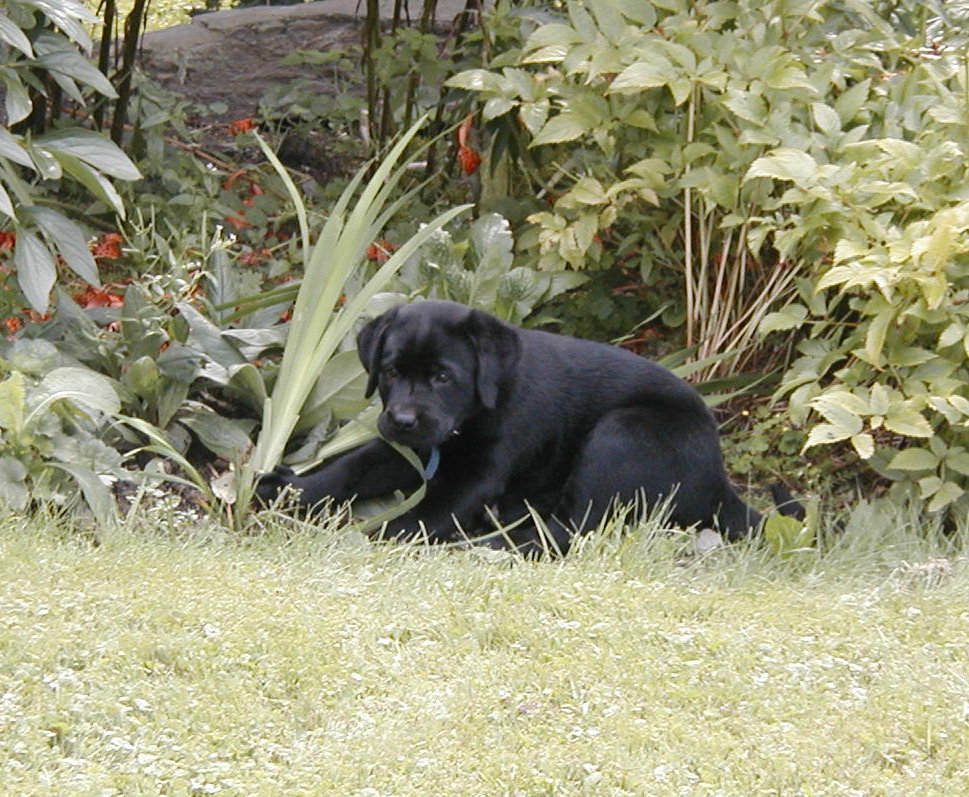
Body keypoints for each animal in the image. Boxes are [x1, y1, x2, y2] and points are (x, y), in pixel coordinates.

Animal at [258, 299, 786, 554]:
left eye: (443, 377)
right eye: (389, 371)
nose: (404, 419)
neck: (469, 419)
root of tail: (719, 481)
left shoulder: (477, 475)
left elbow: (423, 516)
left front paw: (372, 534)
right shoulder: (405, 449)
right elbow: (348, 468)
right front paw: (282, 491)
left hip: (623, 431)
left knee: (576, 530)